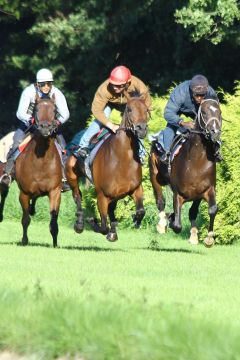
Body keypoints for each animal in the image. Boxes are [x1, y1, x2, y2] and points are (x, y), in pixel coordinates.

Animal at [15, 95, 62, 248]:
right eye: (36, 109)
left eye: (55, 109)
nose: (45, 128)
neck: (41, 162)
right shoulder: (24, 193)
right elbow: (25, 219)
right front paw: (24, 241)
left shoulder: (55, 191)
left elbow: (54, 219)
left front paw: (55, 243)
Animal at [65, 91, 150, 240]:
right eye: (129, 109)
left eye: (146, 109)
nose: (142, 129)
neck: (122, 160)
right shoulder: (102, 195)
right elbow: (103, 226)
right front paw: (93, 221)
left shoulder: (136, 189)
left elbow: (140, 211)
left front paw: (135, 220)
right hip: (72, 176)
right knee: (77, 197)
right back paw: (79, 224)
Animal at [149, 97, 222, 248]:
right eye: (204, 112)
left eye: (219, 112)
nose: (215, 132)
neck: (196, 162)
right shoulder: (178, 193)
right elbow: (177, 225)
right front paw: (170, 219)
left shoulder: (206, 190)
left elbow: (210, 209)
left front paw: (208, 238)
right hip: (155, 176)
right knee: (160, 201)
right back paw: (162, 224)